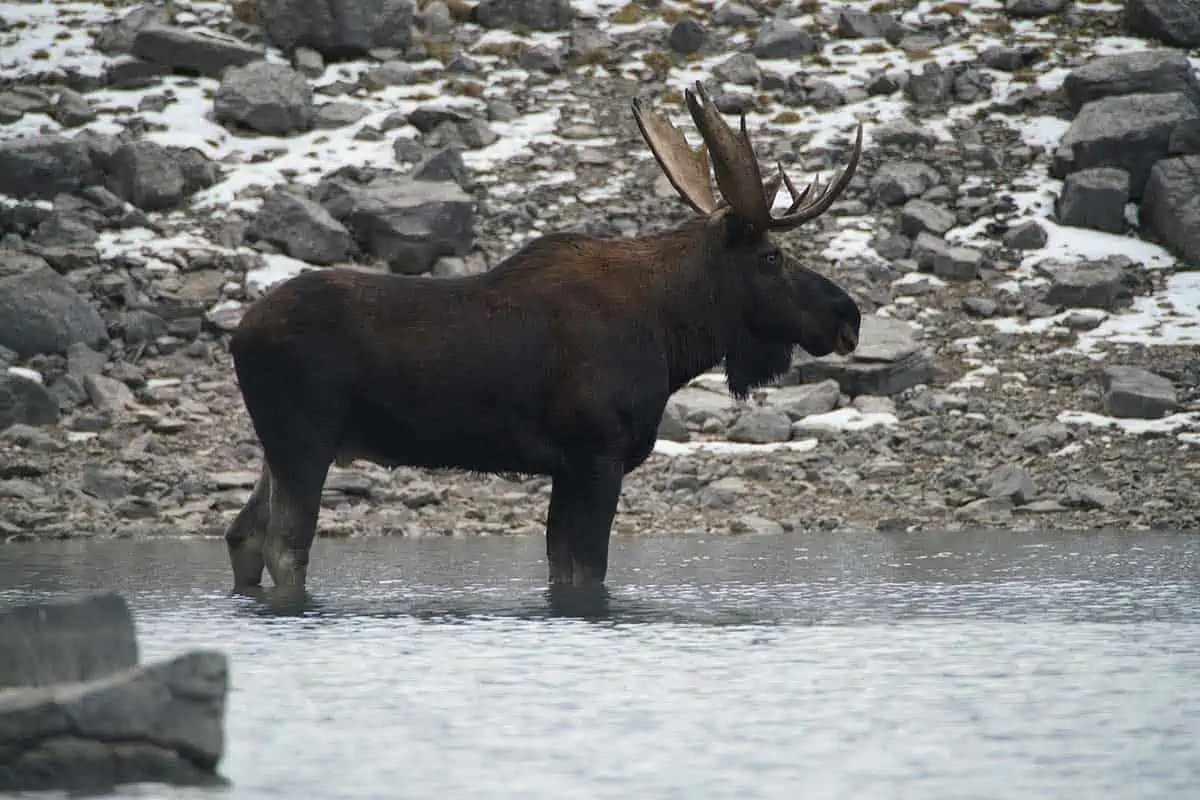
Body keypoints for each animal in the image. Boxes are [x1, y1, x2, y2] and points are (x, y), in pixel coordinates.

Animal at [223, 81, 864, 594]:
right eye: (772, 256)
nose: (848, 315)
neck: (671, 337)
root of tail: (237, 337)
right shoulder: (597, 453)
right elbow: (590, 570)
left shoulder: (565, 468)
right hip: (304, 439)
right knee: (285, 546)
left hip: (285, 446)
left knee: (241, 535)